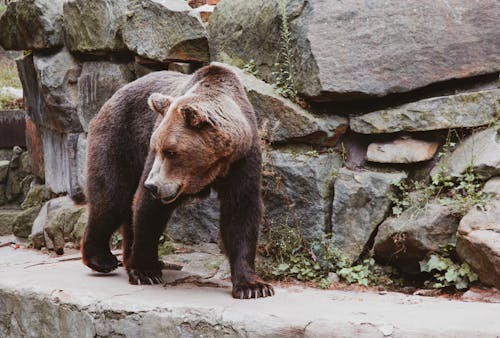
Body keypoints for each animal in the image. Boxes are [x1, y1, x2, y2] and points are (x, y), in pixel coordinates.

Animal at [80, 64, 274, 298]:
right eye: (157, 147)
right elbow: (147, 209)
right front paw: (145, 271)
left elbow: (241, 214)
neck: (213, 168)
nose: (152, 186)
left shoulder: (243, 162)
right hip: (119, 137)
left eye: (171, 151)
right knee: (112, 197)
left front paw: (253, 286)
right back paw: (102, 259)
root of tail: (113, 95)